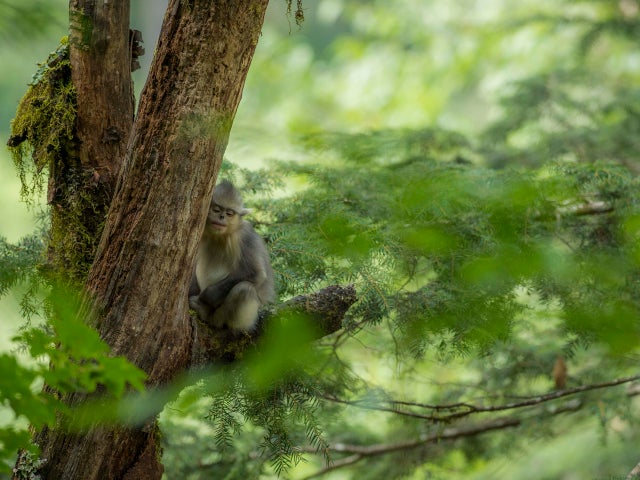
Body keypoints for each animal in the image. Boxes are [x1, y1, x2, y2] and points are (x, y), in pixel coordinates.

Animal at [189, 180, 275, 332]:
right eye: (217, 210)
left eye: (229, 213)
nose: (221, 217)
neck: (218, 236)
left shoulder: (244, 236)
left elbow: (255, 273)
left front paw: (206, 297)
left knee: (244, 289)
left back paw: (205, 312)